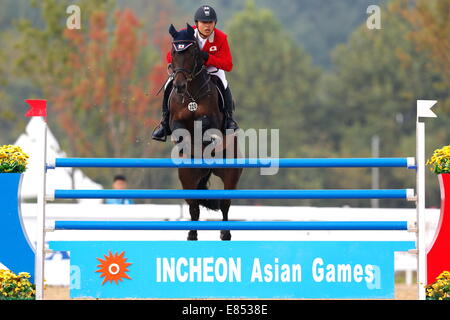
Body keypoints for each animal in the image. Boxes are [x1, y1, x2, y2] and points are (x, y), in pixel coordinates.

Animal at [166, 24, 241, 240]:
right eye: (174, 51)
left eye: (192, 53)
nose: (179, 86)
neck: (191, 93)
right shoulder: (175, 121)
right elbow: (180, 131)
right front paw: (188, 147)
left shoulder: (212, 119)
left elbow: (207, 126)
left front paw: (207, 142)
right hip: (188, 178)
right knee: (194, 208)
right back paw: (192, 235)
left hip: (231, 173)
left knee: (225, 205)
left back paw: (225, 234)